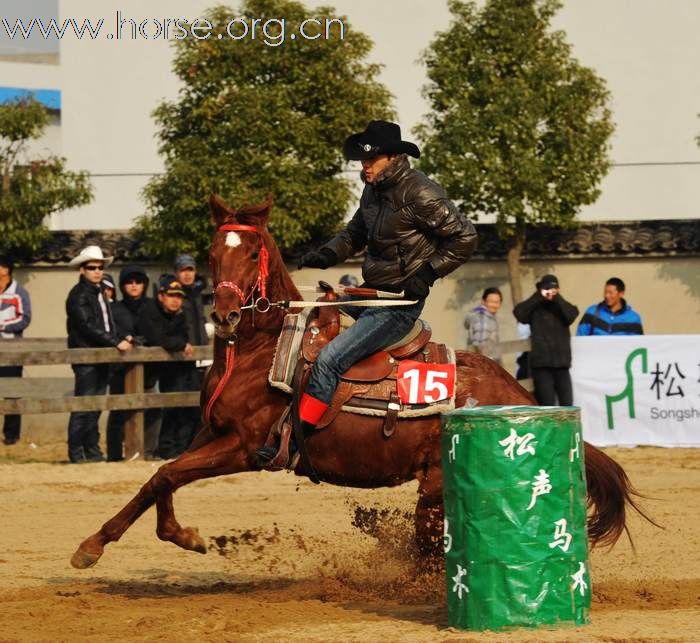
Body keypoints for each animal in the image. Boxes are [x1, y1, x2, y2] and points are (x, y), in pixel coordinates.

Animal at [72, 195, 644, 568]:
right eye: (213, 252)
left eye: (252, 253)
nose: (227, 314)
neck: (258, 352)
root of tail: (515, 392)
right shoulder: (207, 433)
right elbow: (160, 478)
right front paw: (155, 536)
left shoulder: (244, 447)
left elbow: (166, 474)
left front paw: (124, 541)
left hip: (435, 484)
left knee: (428, 544)